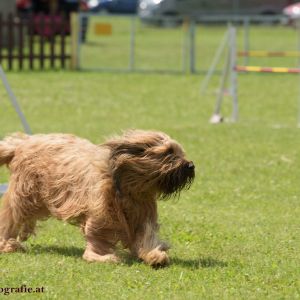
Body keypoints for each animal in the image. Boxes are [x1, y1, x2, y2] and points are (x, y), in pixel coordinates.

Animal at [0, 130, 195, 266]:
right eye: (168, 152)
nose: (191, 165)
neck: (129, 188)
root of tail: (22, 143)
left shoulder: (141, 215)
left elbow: (146, 236)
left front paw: (154, 255)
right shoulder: (101, 215)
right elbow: (98, 237)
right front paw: (102, 256)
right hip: (24, 196)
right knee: (10, 218)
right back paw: (7, 244)